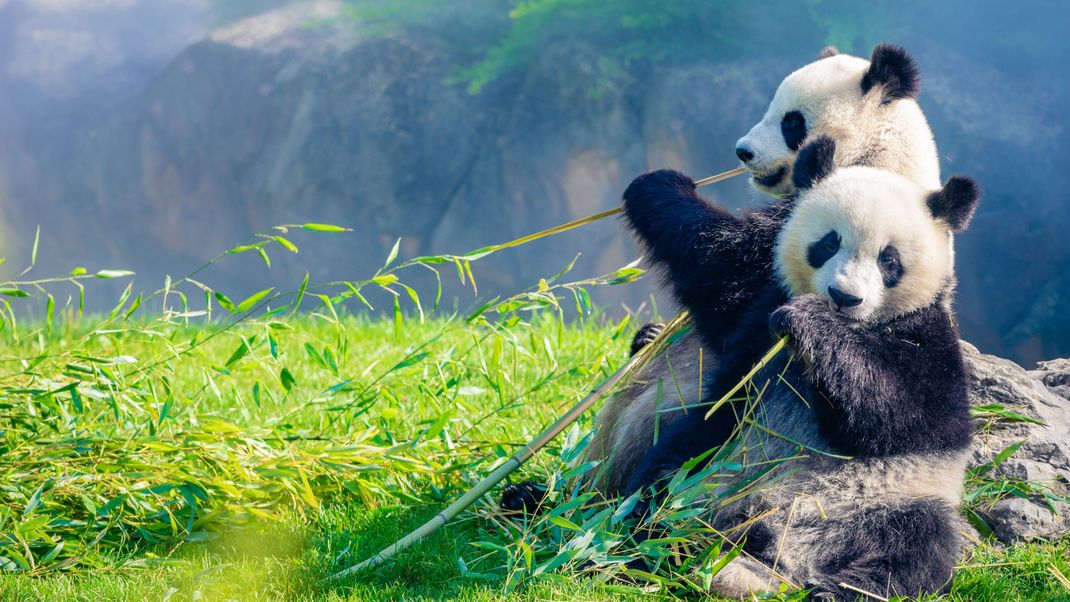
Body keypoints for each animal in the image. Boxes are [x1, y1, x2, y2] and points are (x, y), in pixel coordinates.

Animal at [582, 41, 941, 494]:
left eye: (792, 122)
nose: (743, 151)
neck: (881, 158)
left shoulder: (838, 221)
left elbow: (730, 280)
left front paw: (656, 184)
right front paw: (646, 333)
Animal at [620, 139, 980, 598]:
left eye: (889, 260)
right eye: (828, 243)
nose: (844, 297)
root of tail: (782, 551)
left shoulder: (929, 339)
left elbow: (907, 416)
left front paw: (810, 321)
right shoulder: (759, 315)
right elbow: (718, 275)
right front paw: (659, 185)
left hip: (896, 497)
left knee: (917, 547)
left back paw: (838, 590)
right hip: (716, 458)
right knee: (665, 478)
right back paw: (644, 542)